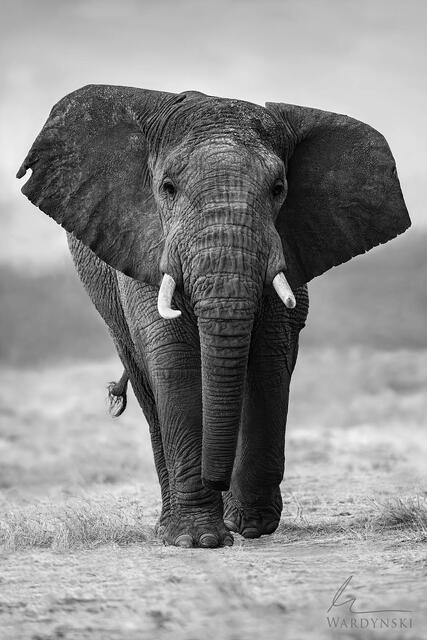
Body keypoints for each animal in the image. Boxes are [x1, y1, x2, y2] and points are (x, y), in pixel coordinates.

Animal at [17, 85, 410, 548]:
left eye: (279, 188)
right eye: (167, 187)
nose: (215, 480)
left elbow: (268, 357)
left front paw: (251, 526)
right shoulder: (145, 241)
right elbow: (173, 356)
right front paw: (200, 539)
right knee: (147, 386)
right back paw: (170, 525)